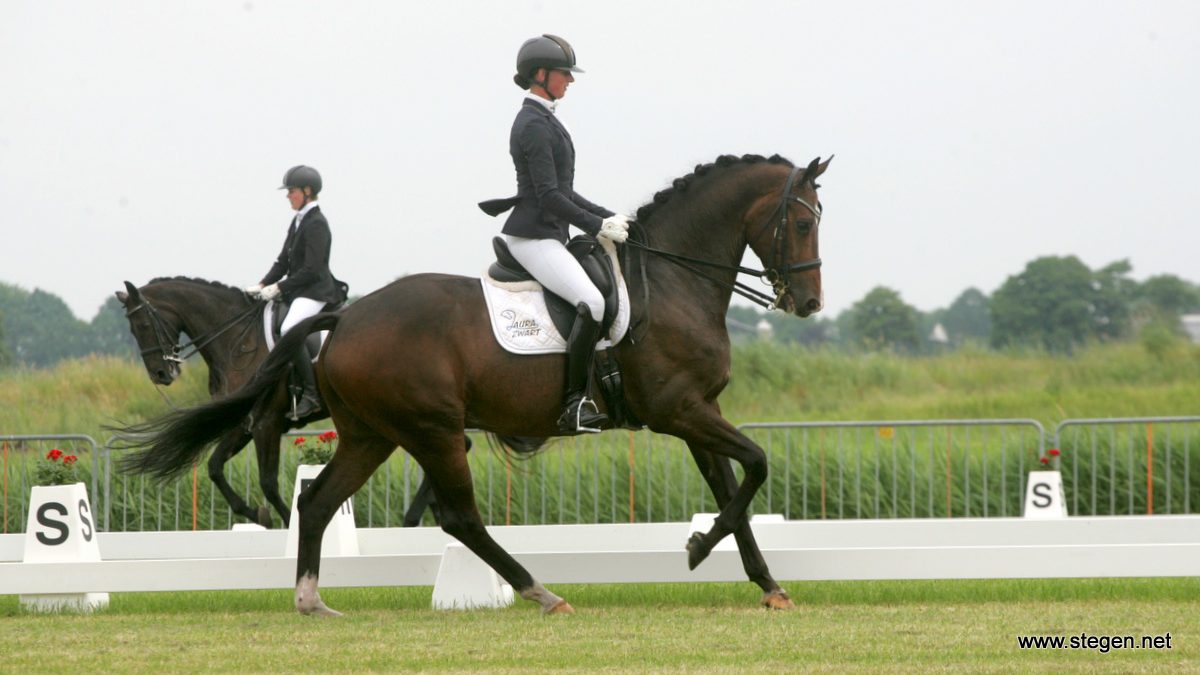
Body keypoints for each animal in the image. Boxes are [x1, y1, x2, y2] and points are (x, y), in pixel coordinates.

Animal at [117, 153, 830, 614]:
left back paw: (311, 599)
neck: (672, 279)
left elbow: (734, 487)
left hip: (374, 434)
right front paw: (697, 548)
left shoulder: (697, 411)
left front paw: (765, 583)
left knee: (319, 501)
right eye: (802, 222)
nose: (809, 304)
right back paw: (541, 592)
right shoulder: (679, 410)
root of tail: (348, 318)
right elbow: (756, 466)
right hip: (430, 428)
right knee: (457, 516)